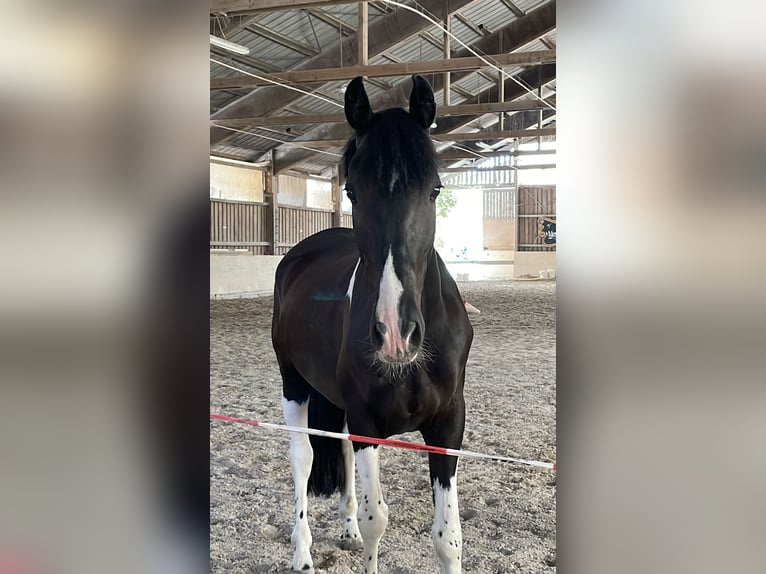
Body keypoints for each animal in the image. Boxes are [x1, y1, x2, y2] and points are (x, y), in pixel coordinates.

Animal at [271, 75, 474, 574]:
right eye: (353, 193)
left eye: (435, 190)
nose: (396, 333)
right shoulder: (367, 423)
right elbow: (376, 519)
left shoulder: (448, 425)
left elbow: (449, 537)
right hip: (294, 384)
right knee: (302, 458)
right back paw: (302, 553)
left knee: (338, 450)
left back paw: (343, 531)